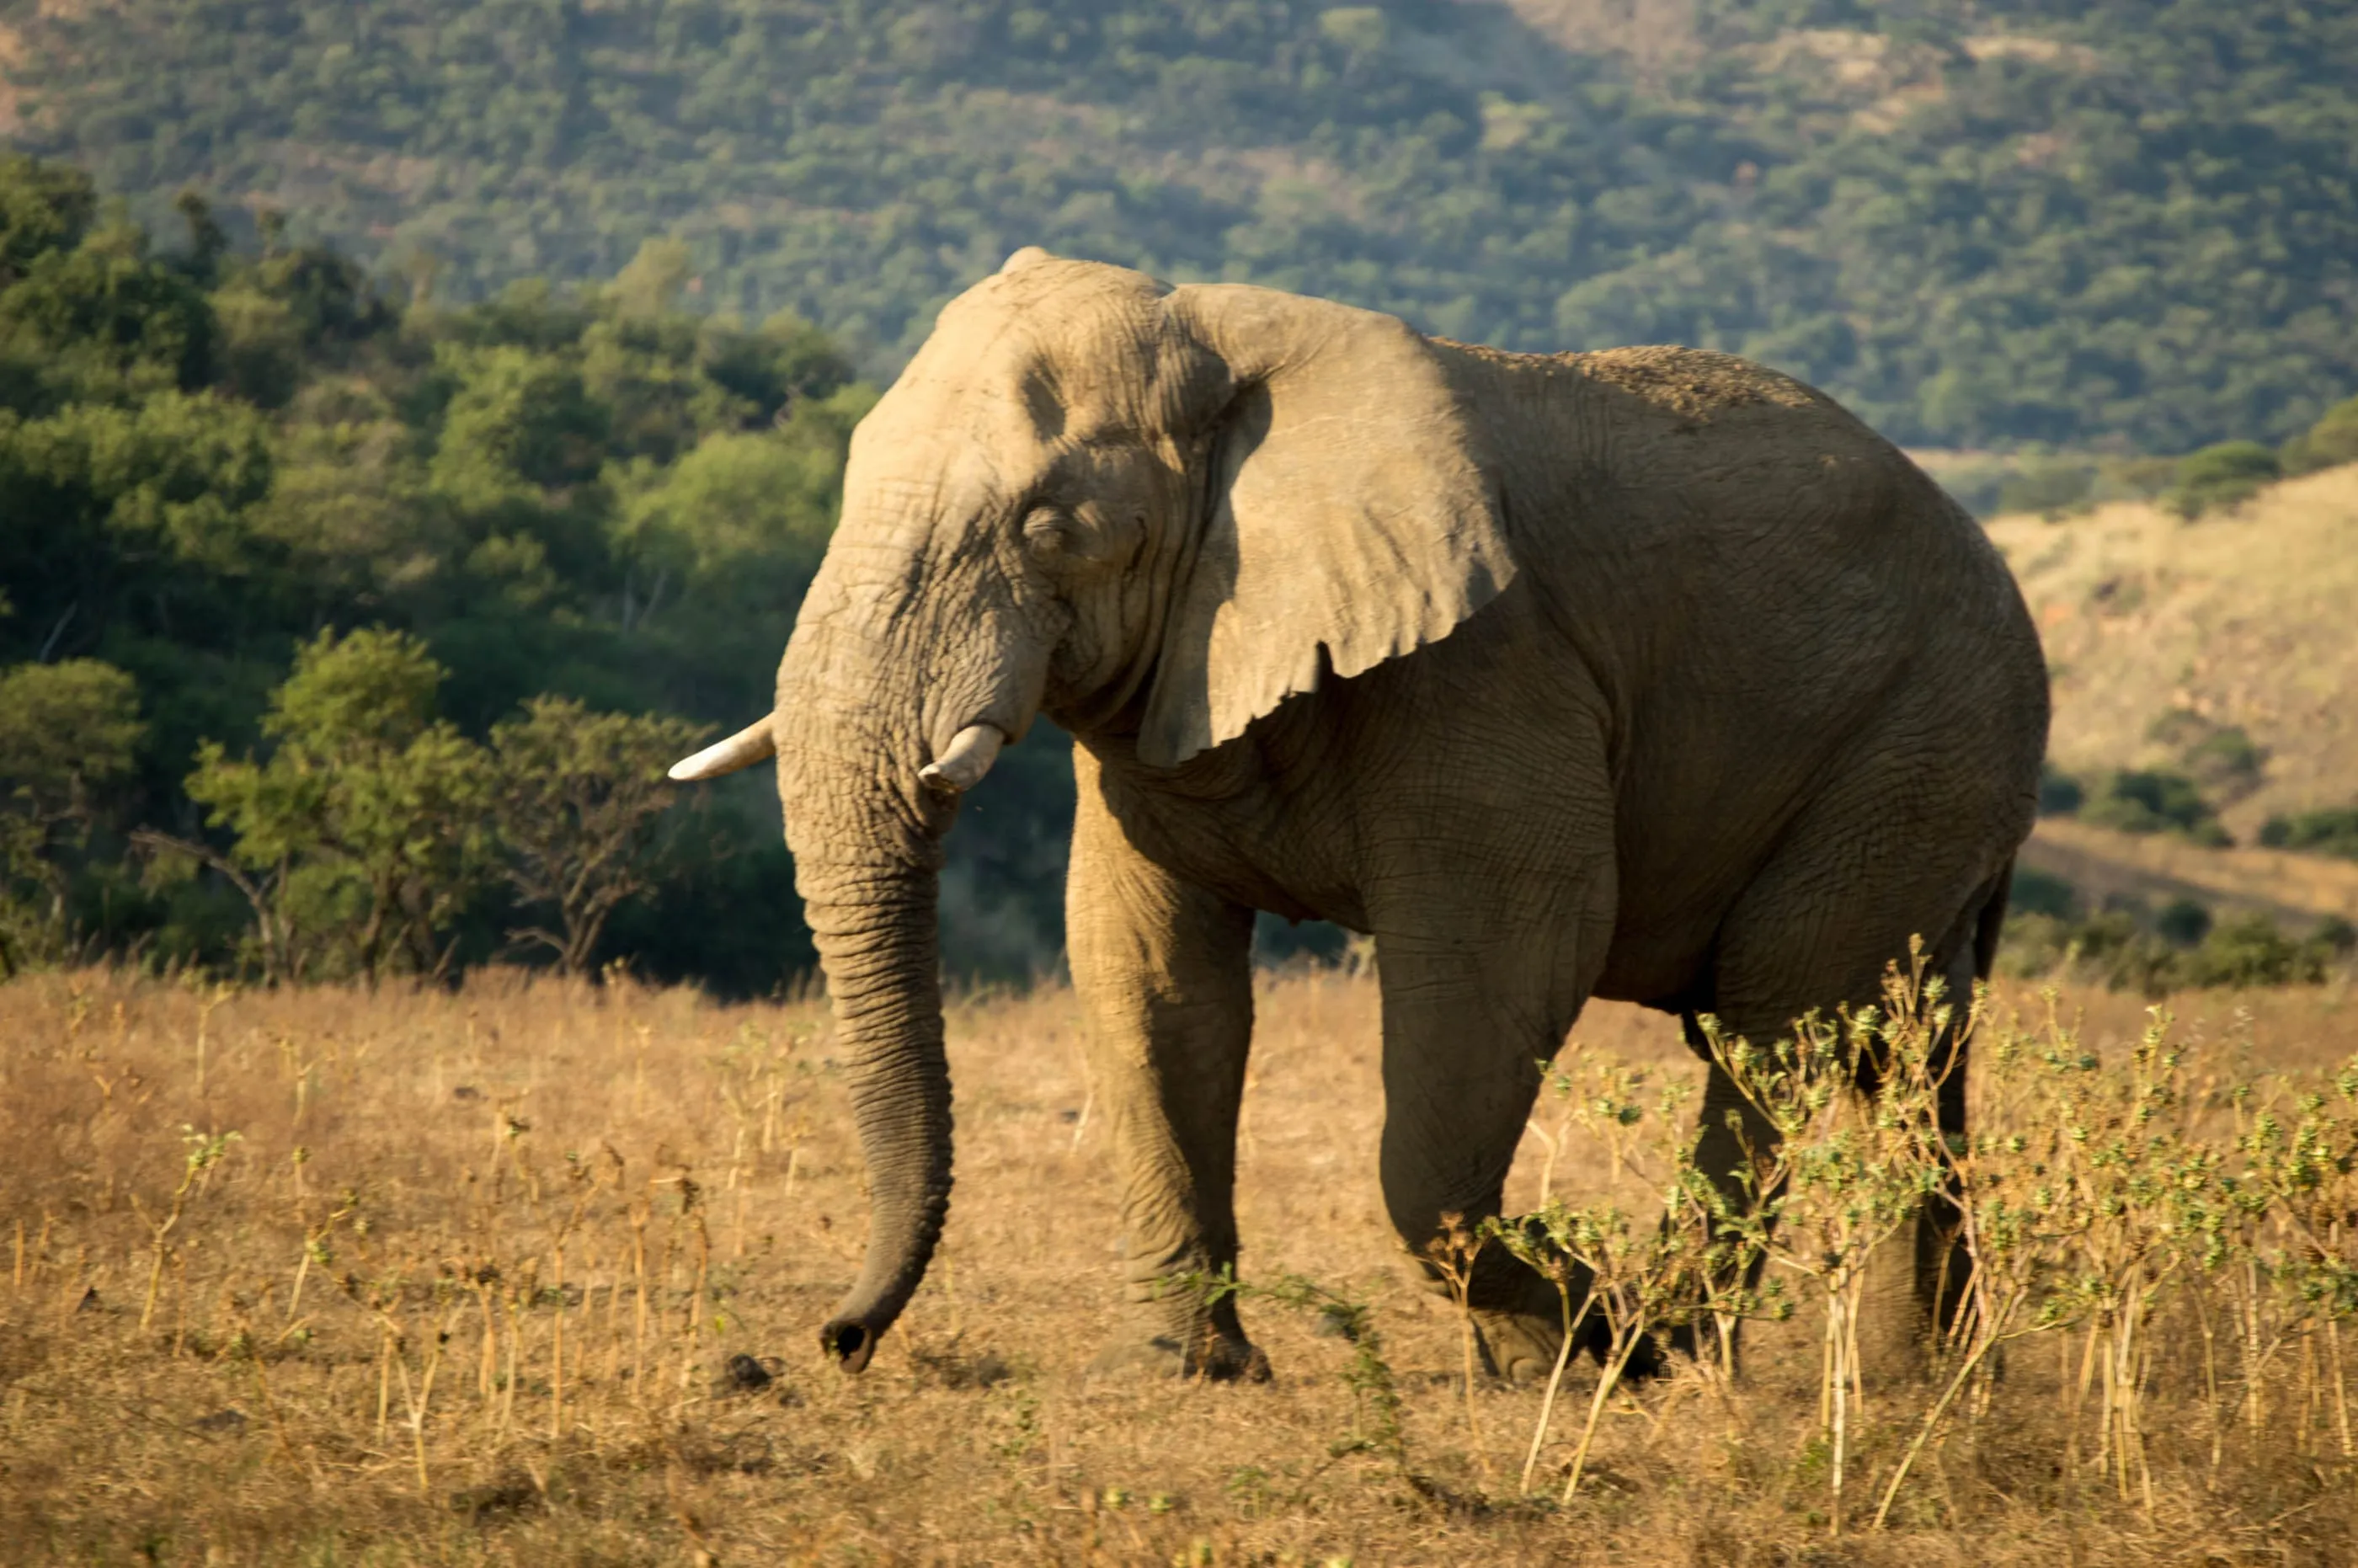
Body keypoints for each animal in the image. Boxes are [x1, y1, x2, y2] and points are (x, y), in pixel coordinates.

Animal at [668, 247, 2048, 1384]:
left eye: (1051, 530)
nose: (837, 1338)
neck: (1228, 347)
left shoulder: (1490, 674)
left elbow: (1506, 965)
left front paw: (1579, 1335)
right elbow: (1149, 974)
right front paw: (1190, 1371)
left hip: (1922, 743)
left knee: (1775, 1018)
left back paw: (1676, 1352)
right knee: (1905, 1047)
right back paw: (1916, 1375)